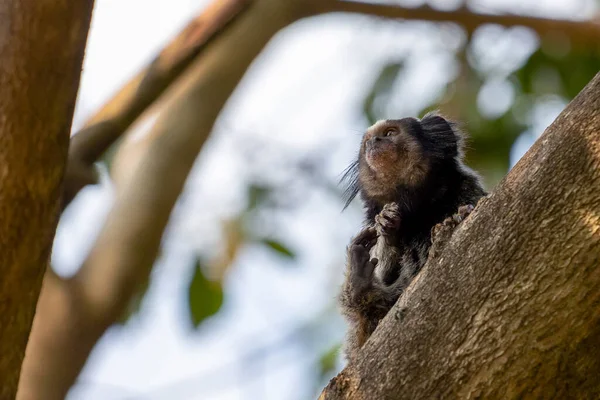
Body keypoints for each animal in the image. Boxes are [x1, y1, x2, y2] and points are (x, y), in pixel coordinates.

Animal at [338, 113, 488, 362]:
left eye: (390, 132)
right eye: (367, 142)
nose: (374, 142)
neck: (417, 211)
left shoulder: (467, 190)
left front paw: (457, 219)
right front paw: (389, 228)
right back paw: (360, 282)